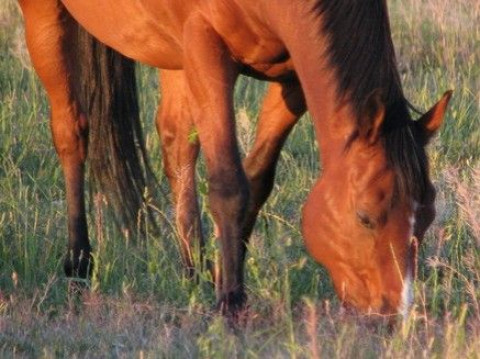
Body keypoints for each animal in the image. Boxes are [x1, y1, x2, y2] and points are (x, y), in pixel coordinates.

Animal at [16, 0, 450, 318]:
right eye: (365, 218)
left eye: (427, 219)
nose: (392, 316)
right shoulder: (207, 48)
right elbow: (228, 185)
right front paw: (231, 304)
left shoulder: (290, 75)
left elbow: (256, 182)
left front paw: (223, 278)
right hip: (46, 13)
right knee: (71, 132)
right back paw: (78, 264)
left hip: (175, 53)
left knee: (176, 143)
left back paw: (193, 271)